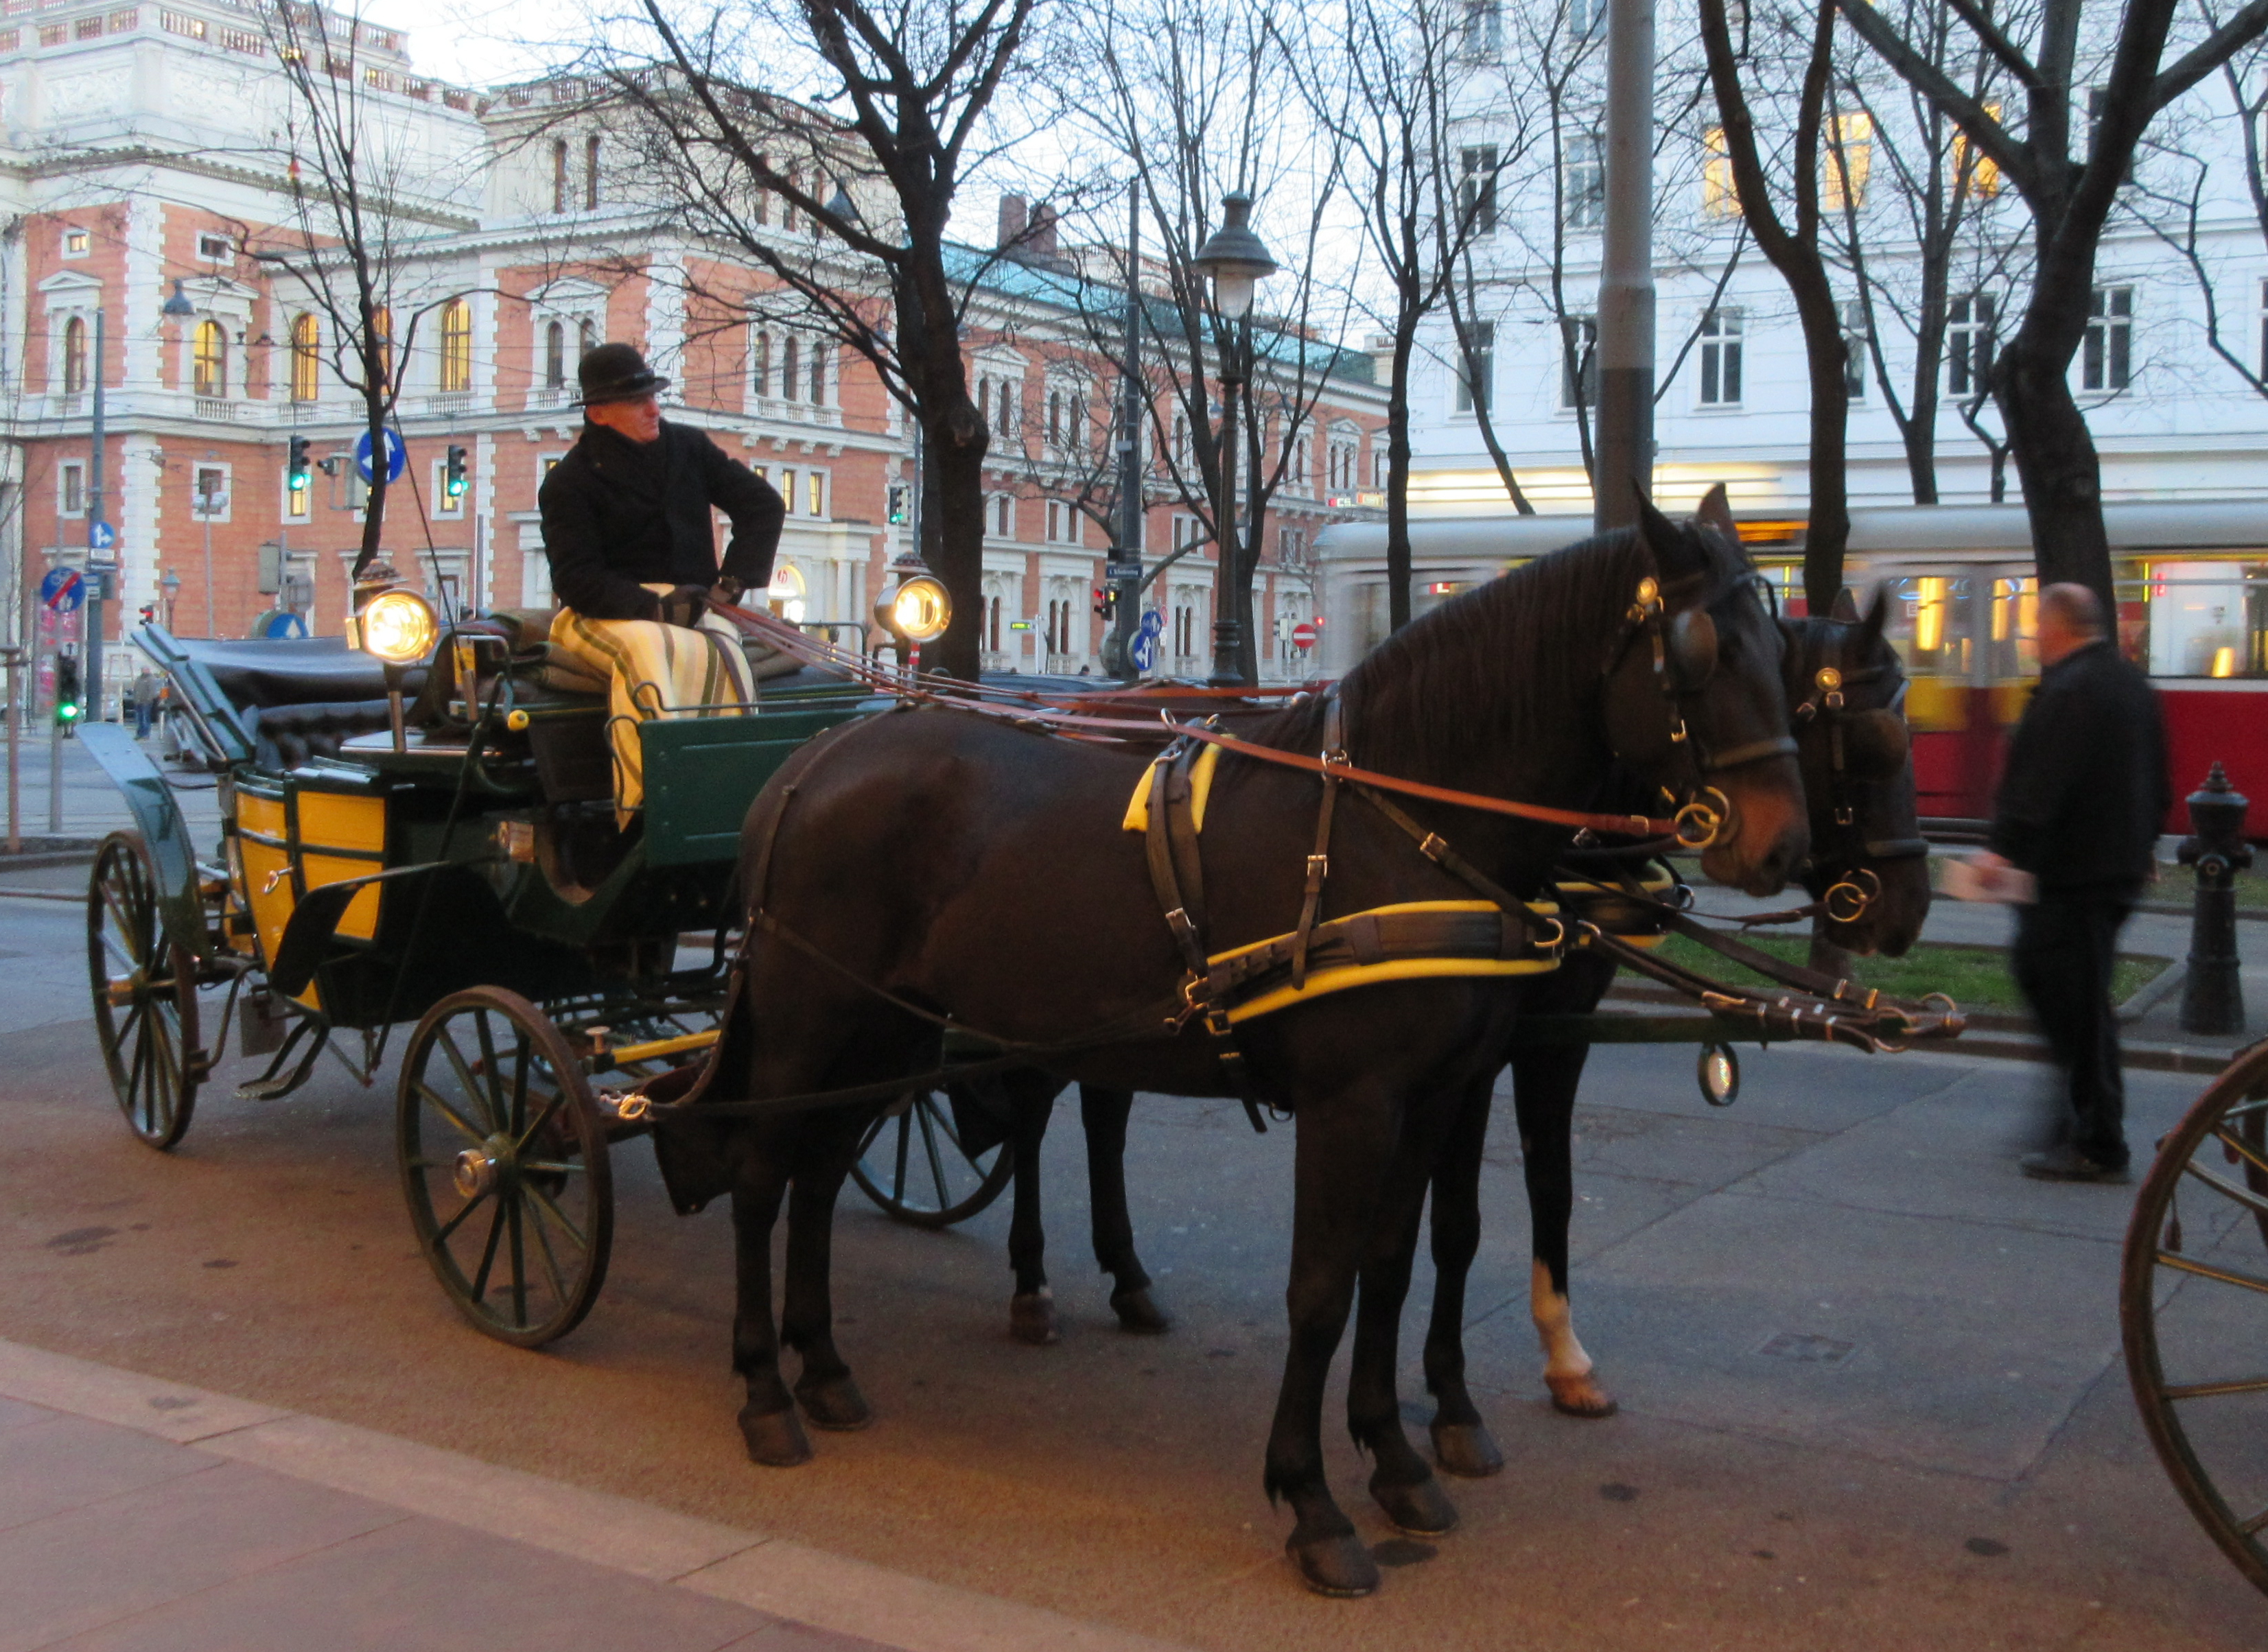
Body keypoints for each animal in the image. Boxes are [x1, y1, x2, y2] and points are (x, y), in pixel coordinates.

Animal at [675, 500, 1809, 1598]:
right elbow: (1321, 1292)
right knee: (763, 1176)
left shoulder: (1438, 1094)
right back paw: (767, 1391)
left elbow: (1394, 1266)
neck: (1399, 826)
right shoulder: (1354, 1105)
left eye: (1782, 645)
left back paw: (826, 1368)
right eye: (1700, 649)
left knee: (825, 1173)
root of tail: (816, 758)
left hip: (891, 1031)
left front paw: (1399, 1458)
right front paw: (1313, 1503)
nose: (1784, 846)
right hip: (811, 1021)